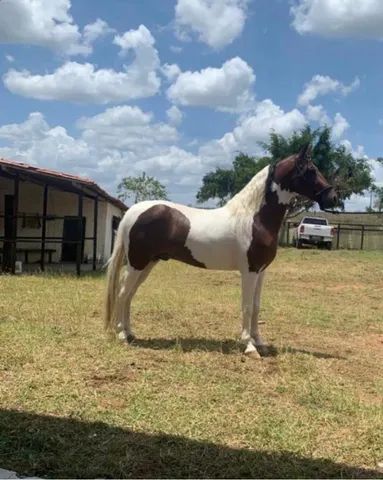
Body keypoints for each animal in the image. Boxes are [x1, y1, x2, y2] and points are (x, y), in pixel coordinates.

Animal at [103, 144, 338, 358]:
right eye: (310, 170)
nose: (333, 197)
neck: (253, 218)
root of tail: (132, 212)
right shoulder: (250, 271)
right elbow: (247, 306)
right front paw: (249, 346)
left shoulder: (261, 272)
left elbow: (256, 306)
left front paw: (259, 342)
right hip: (137, 263)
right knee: (122, 293)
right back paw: (122, 335)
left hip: (147, 264)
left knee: (129, 295)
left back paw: (130, 333)